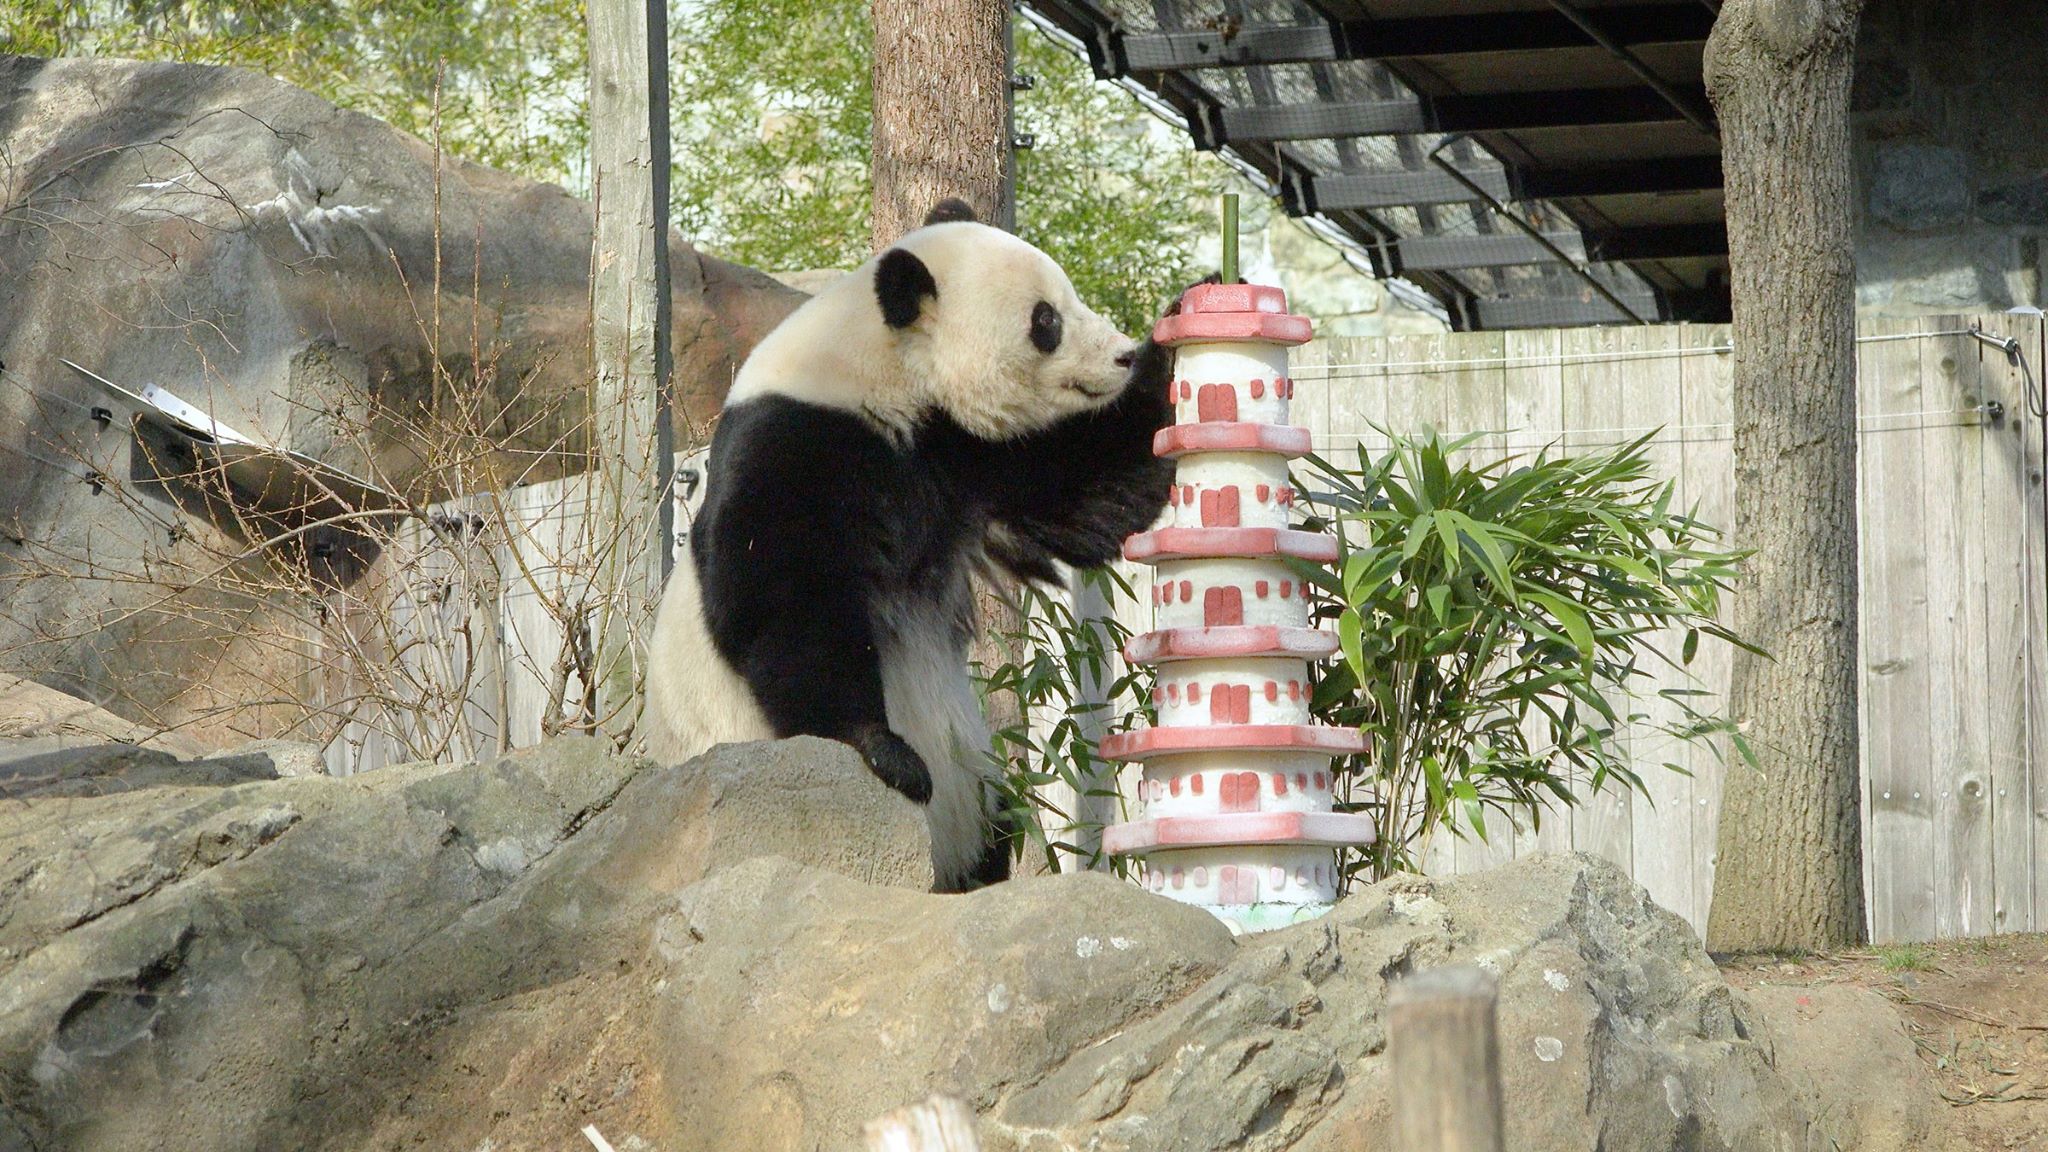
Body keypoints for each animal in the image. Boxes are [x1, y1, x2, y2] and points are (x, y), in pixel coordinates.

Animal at [647, 199, 1179, 889]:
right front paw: (885, 752)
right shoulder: (794, 445)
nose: (1119, 356)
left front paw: (1179, 331)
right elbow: (785, 604)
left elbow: (1092, 489)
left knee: (993, 820)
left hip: (974, 778)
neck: (882, 372)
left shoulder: (966, 453)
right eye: (1047, 321)